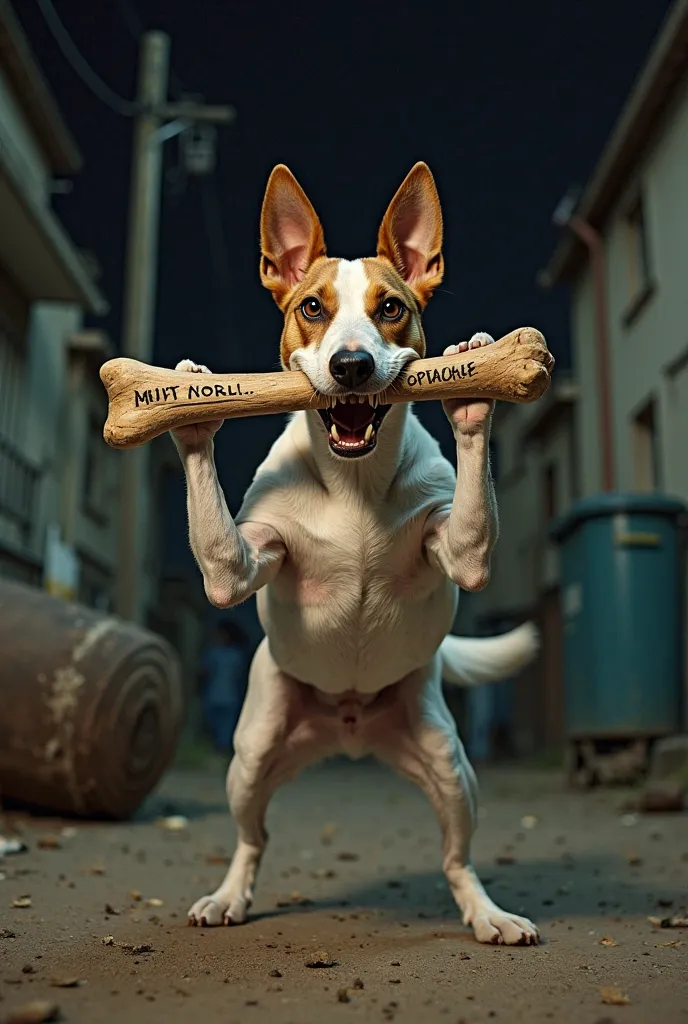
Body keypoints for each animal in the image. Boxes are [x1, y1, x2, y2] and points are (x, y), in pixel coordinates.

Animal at [173, 157, 552, 942]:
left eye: (391, 308)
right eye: (312, 307)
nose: (350, 366)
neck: (353, 484)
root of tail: (347, 727)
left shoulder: (461, 548)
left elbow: (470, 536)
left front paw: (473, 392)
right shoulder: (240, 564)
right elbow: (223, 559)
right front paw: (193, 415)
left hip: (449, 764)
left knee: (456, 859)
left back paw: (488, 913)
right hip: (251, 755)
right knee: (252, 838)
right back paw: (228, 895)